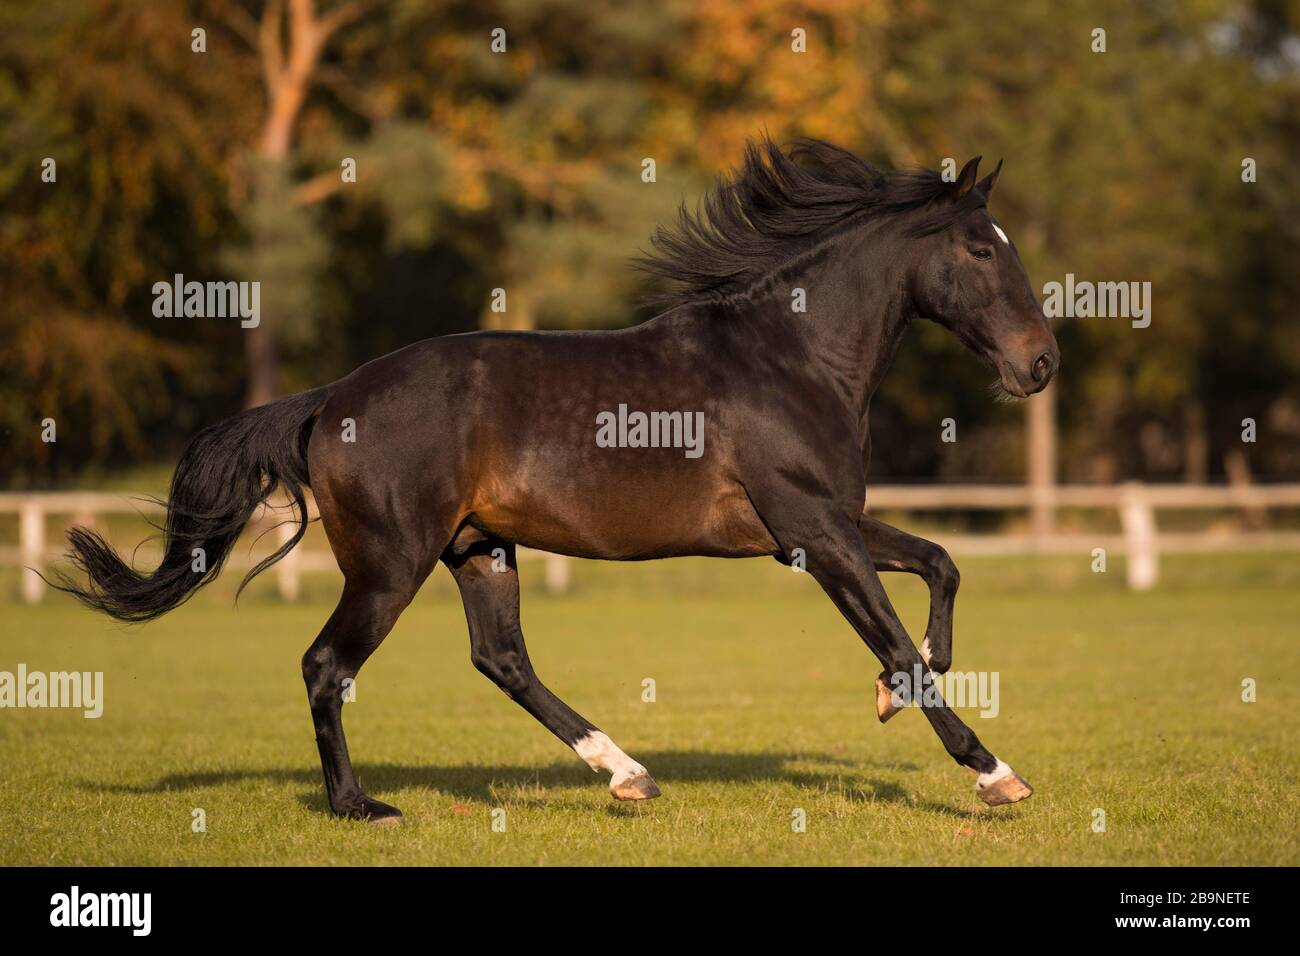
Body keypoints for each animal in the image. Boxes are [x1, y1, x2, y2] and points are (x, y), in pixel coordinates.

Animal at [55, 138, 1060, 827]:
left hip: (479, 550)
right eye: (980, 250)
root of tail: (329, 399)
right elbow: (897, 635)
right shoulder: (813, 533)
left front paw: (896, 691)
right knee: (327, 665)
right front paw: (994, 772)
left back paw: (628, 773)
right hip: (390, 566)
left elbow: (938, 566)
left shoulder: (822, 526)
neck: (793, 358)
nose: (1041, 363)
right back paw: (362, 806)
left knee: (501, 660)